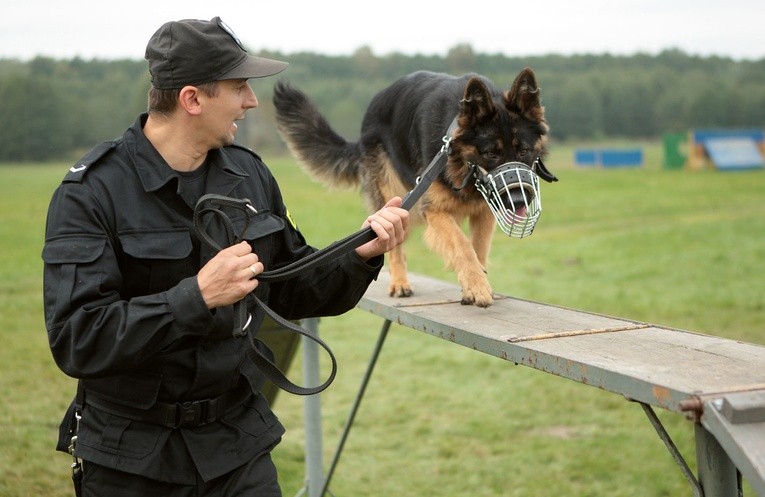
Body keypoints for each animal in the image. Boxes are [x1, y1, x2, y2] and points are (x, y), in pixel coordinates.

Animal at [274, 67, 556, 306]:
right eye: (490, 154)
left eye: (524, 150)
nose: (517, 201)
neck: (455, 154)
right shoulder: (434, 210)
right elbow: (463, 246)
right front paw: (477, 286)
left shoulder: (484, 210)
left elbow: (478, 248)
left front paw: (475, 283)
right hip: (394, 197)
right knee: (393, 244)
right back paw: (399, 283)